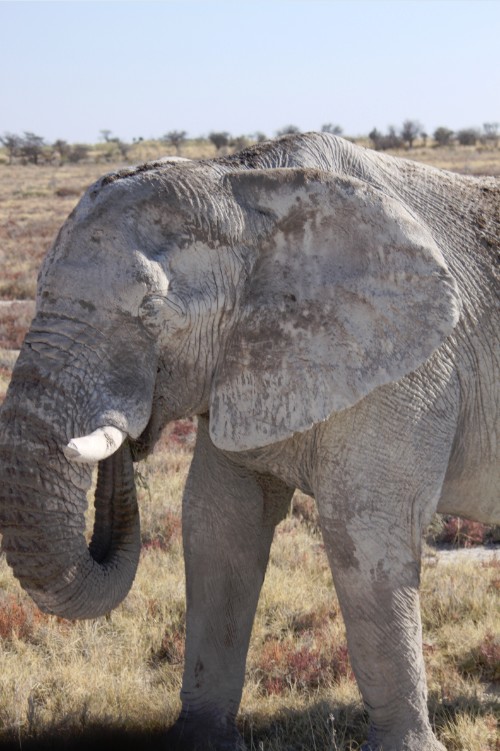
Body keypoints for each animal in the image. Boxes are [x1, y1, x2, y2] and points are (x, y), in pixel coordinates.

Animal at [0, 132, 500, 748]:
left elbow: (364, 529)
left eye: (152, 312)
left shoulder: (413, 367)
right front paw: (198, 741)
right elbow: (219, 523)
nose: (130, 442)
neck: (243, 183)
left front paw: (409, 749)